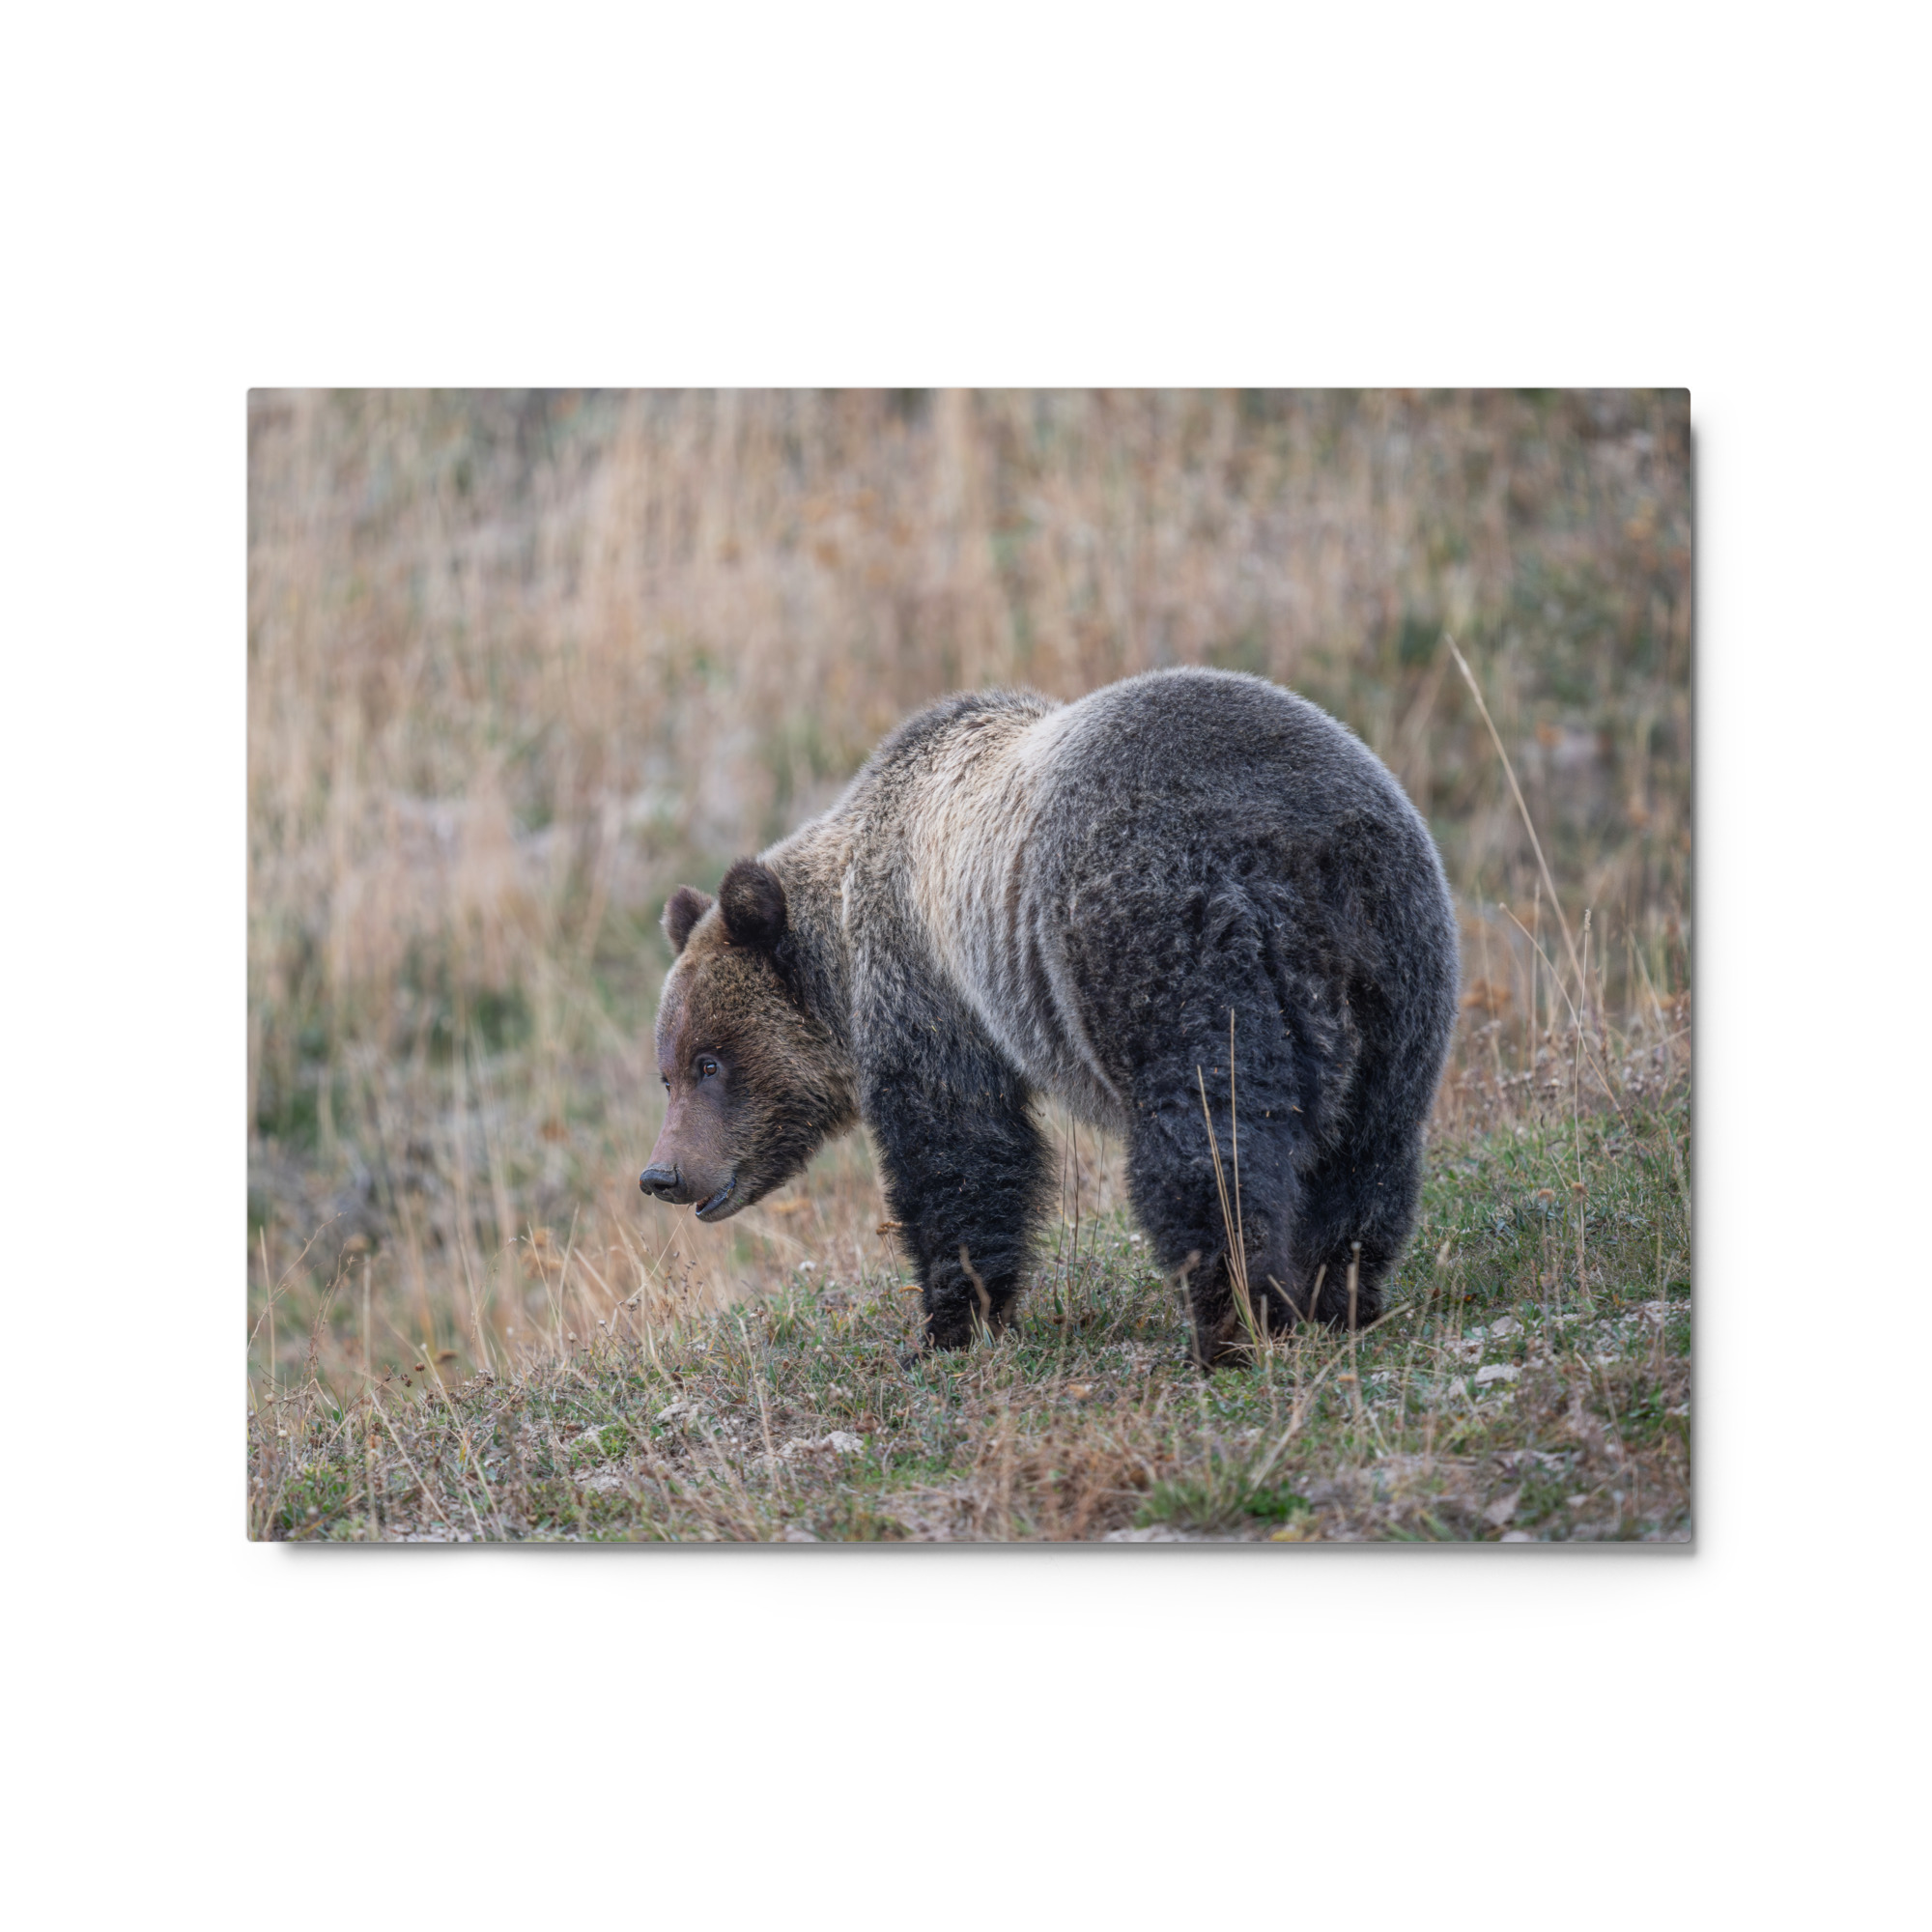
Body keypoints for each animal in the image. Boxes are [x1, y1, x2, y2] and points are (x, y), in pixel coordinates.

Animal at [641, 666, 1459, 1367]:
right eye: (668, 1072)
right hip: (1398, 964)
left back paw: (1230, 1325)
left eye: (710, 1062)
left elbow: (959, 1150)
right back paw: (1338, 1297)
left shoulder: (929, 984)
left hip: (1167, 943)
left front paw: (949, 1325)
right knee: (1370, 1146)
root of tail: (1300, 848)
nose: (662, 1174)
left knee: (1209, 1142)